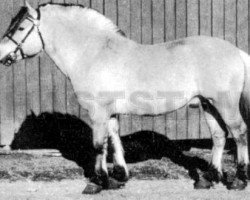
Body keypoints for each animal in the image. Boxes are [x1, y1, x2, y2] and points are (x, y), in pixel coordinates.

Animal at [0, 0, 250, 194]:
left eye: (20, 28)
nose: (2, 55)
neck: (95, 54)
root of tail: (236, 51)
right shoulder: (110, 112)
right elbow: (114, 140)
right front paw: (119, 177)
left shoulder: (98, 112)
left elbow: (98, 145)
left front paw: (97, 183)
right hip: (208, 104)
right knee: (219, 136)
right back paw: (208, 179)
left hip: (225, 104)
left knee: (239, 134)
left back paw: (239, 180)